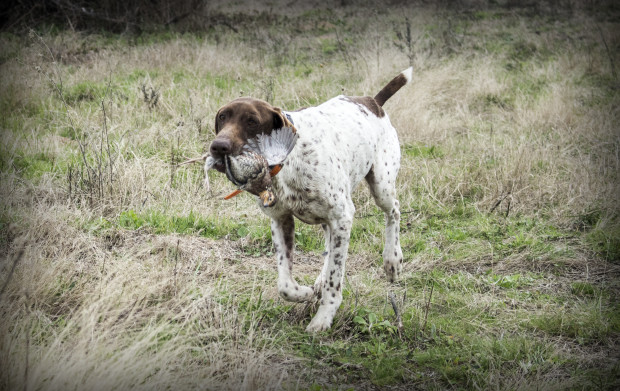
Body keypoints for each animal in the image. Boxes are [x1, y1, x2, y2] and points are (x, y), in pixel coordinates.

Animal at [208, 66, 412, 330]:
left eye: (252, 121)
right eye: (223, 117)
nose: (218, 147)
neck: (288, 161)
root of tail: (372, 101)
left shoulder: (342, 216)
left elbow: (335, 279)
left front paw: (324, 317)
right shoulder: (281, 220)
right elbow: (285, 285)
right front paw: (305, 292)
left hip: (381, 186)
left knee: (393, 211)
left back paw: (392, 261)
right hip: (331, 218)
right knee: (330, 247)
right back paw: (319, 281)